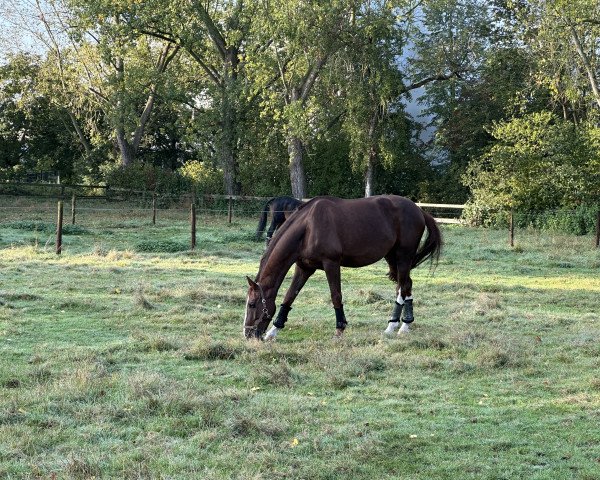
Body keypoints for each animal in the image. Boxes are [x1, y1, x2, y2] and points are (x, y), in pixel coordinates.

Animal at [243, 196, 440, 342]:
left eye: (252, 304)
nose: (248, 334)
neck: (308, 227)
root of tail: (419, 210)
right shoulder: (304, 268)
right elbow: (289, 297)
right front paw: (273, 331)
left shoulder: (331, 264)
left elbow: (336, 296)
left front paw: (339, 329)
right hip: (393, 258)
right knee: (404, 286)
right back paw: (397, 325)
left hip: (403, 257)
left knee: (404, 287)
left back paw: (401, 326)